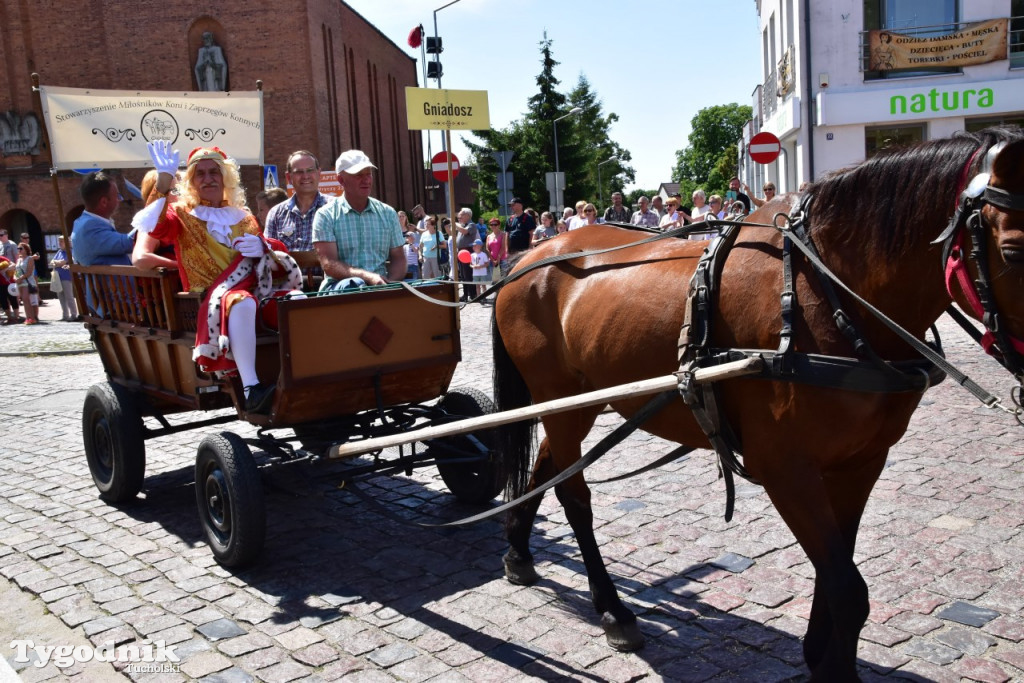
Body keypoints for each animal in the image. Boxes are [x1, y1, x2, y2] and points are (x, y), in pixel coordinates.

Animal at [491, 129, 1019, 683]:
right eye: (1012, 250)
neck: (824, 293)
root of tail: (527, 258)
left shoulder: (861, 463)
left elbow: (838, 569)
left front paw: (819, 652)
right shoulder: (786, 469)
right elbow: (848, 589)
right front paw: (833, 667)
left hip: (581, 401)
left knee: (546, 466)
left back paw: (518, 553)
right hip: (559, 398)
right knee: (573, 496)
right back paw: (614, 611)